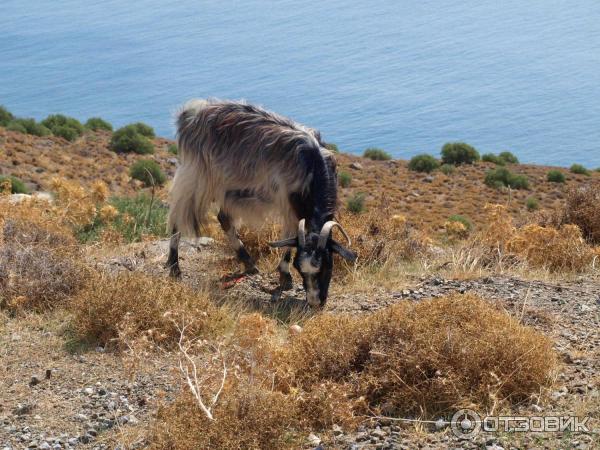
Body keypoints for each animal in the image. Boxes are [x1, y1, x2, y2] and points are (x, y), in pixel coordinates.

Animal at [165, 99, 356, 308]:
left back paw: (248, 262)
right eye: (300, 269)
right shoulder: (289, 204)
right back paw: (174, 267)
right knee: (177, 216)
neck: (312, 164)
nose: (315, 302)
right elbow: (288, 237)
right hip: (195, 176)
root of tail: (191, 114)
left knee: (224, 219)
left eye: (326, 265)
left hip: (228, 188)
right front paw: (285, 276)